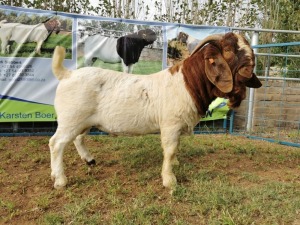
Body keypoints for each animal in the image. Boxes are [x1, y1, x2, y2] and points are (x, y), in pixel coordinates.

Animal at [50, 33, 262, 192]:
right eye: (228, 50)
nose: (250, 67)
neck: (187, 83)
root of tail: (66, 74)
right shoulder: (171, 125)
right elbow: (170, 150)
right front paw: (169, 180)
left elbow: (176, 148)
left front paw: (175, 165)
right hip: (71, 119)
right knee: (56, 144)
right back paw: (60, 179)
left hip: (84, 121)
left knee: (78, 139)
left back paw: (89, 160)